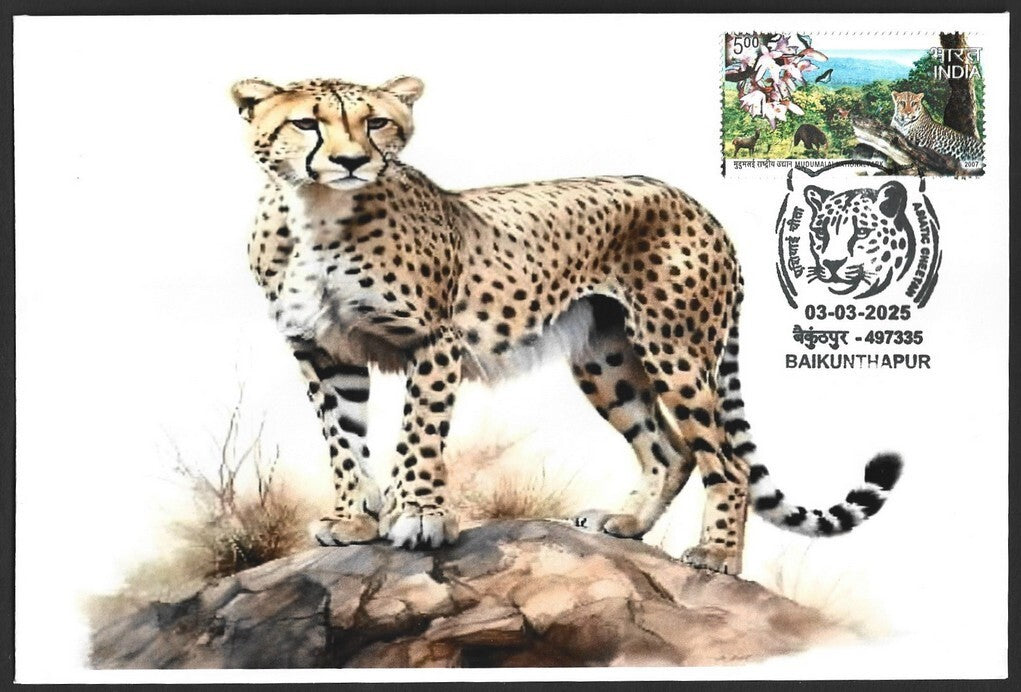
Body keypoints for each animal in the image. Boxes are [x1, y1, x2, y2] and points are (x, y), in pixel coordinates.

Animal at [231, 74, 903, 575]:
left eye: (376, 123)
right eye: (306, 123)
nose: (350, 162)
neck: (315, 213)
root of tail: (698, 205)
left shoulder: (433, 339)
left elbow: (418, 434)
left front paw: (419, 516)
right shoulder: (322, 350)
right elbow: (342, 438)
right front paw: (352, 516)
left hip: (674, 348)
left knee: (725, 460)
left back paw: (716, 555)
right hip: (606, 357)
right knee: (671, 449)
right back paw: (626, 524)